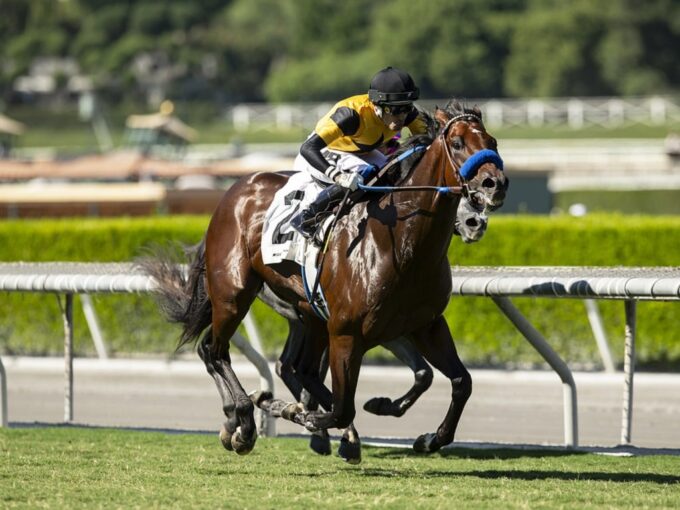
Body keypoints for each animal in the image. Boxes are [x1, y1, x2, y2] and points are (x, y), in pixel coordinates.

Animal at [145, 101, 504, 456]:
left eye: (493, 141)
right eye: (456, 143)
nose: (494, 185)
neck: (402, 245)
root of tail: (234, 191)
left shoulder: (425, 324)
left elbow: (459, 382)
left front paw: (429, 437)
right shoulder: (347, 332)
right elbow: (345, 406)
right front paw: (293, 413)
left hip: (309, 313)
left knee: (295, 368)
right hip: (234, 294)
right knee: (215, 351)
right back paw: (246, 423)